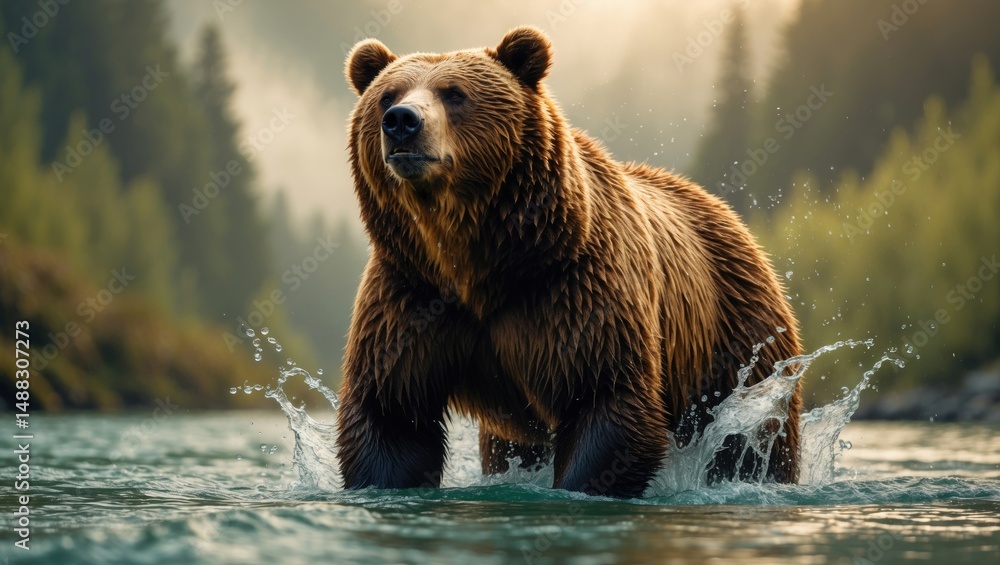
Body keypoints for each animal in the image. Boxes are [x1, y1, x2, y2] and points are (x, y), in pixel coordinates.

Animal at [336, 26, 802, 498]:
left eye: (454, 93)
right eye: (387, 95)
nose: (401, 121)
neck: (476, 259)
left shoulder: (572, 287)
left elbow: (603, 396)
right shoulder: (410, 294)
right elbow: (392, 413)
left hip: (735, 331)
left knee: (751, 433)